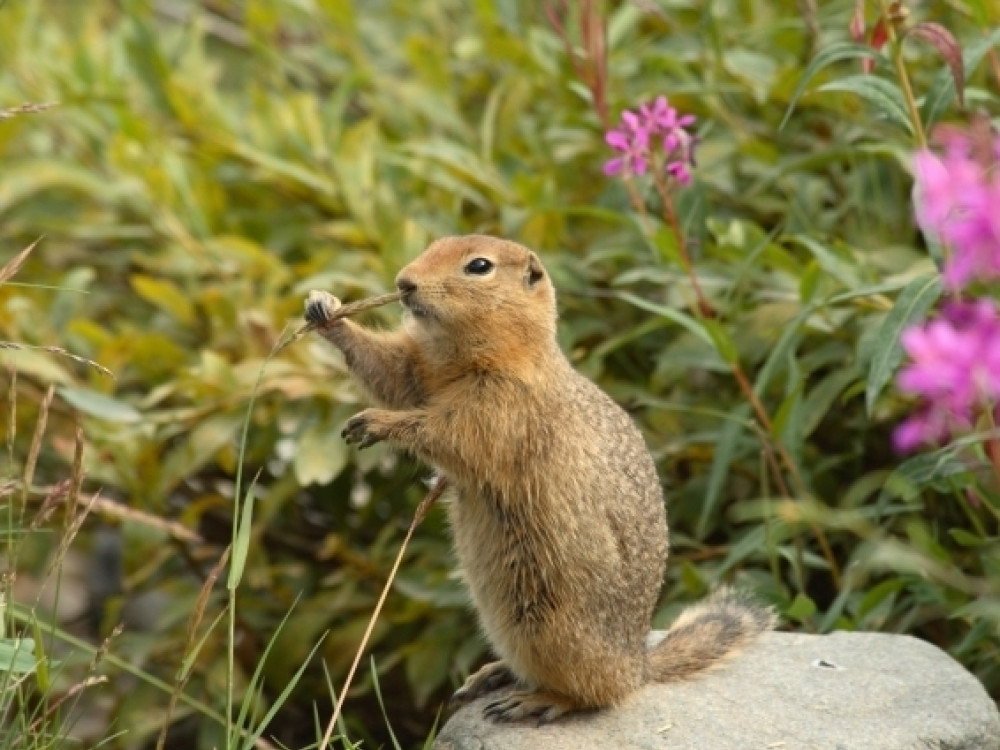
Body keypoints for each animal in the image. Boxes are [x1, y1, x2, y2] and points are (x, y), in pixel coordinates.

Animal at [302, 236, 772, 728]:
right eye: (433, 245)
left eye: (479, 266)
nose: (403, 282)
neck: (472, 354)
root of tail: (639, 665)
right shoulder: (421, 371)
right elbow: (390, 371)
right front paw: (325, 309)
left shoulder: (501, 407)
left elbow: (448, 433)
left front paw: (376, 422)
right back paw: (491, 675)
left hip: (551, 626)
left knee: (599, 693)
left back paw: (535, 700)